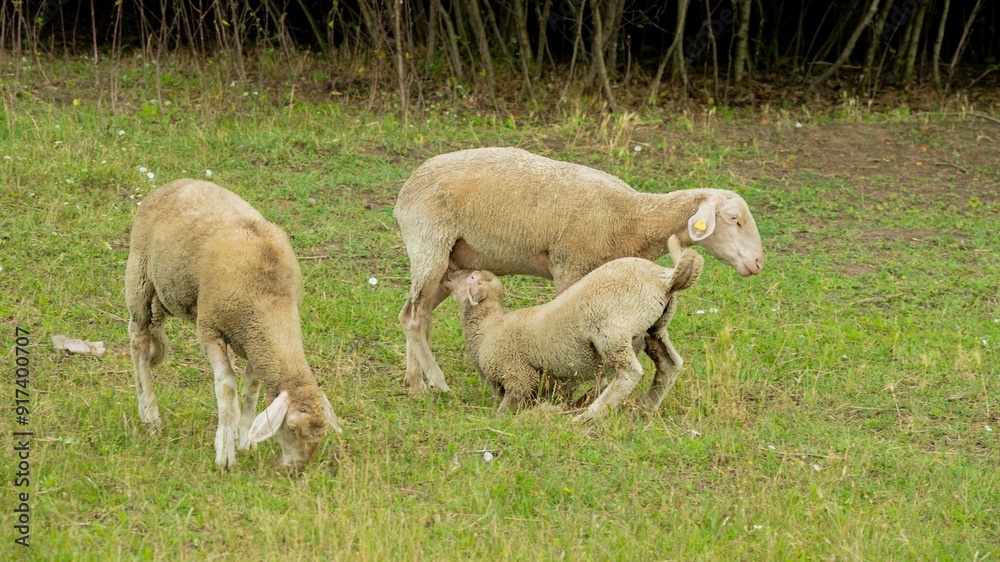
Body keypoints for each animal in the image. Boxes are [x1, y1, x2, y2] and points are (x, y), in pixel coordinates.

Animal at [125, 179, 341, 472]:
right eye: (292, 428)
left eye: (321, 432)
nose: (298, 468)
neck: (270, 298)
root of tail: (174, 184)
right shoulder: (209, 328)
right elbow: (227, 384)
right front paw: (226, 452)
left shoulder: (254, 342)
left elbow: (251, 385)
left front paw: (245, 437)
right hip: (139, 280)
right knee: (139, 341)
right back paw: (149, 412)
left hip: (167, 293)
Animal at [394, 147, 762, 394]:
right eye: (733, 218)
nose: (758, 263)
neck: (634, 219)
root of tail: (406, 189)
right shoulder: (569, 268)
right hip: (429, 243)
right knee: (413, 317)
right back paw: (436, 383)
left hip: (449, 262)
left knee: (416, 315)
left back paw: (415, 384)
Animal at [444, 248, 704, 422]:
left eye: (472, 277)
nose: (448, 273)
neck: (487, 326)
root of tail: (665, 278)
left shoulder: (518, 376)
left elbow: (506, 410)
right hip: (654, 327)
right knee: (669, 364)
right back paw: (645, 409)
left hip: (611, 330)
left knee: (629, 374)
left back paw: (588, 417)